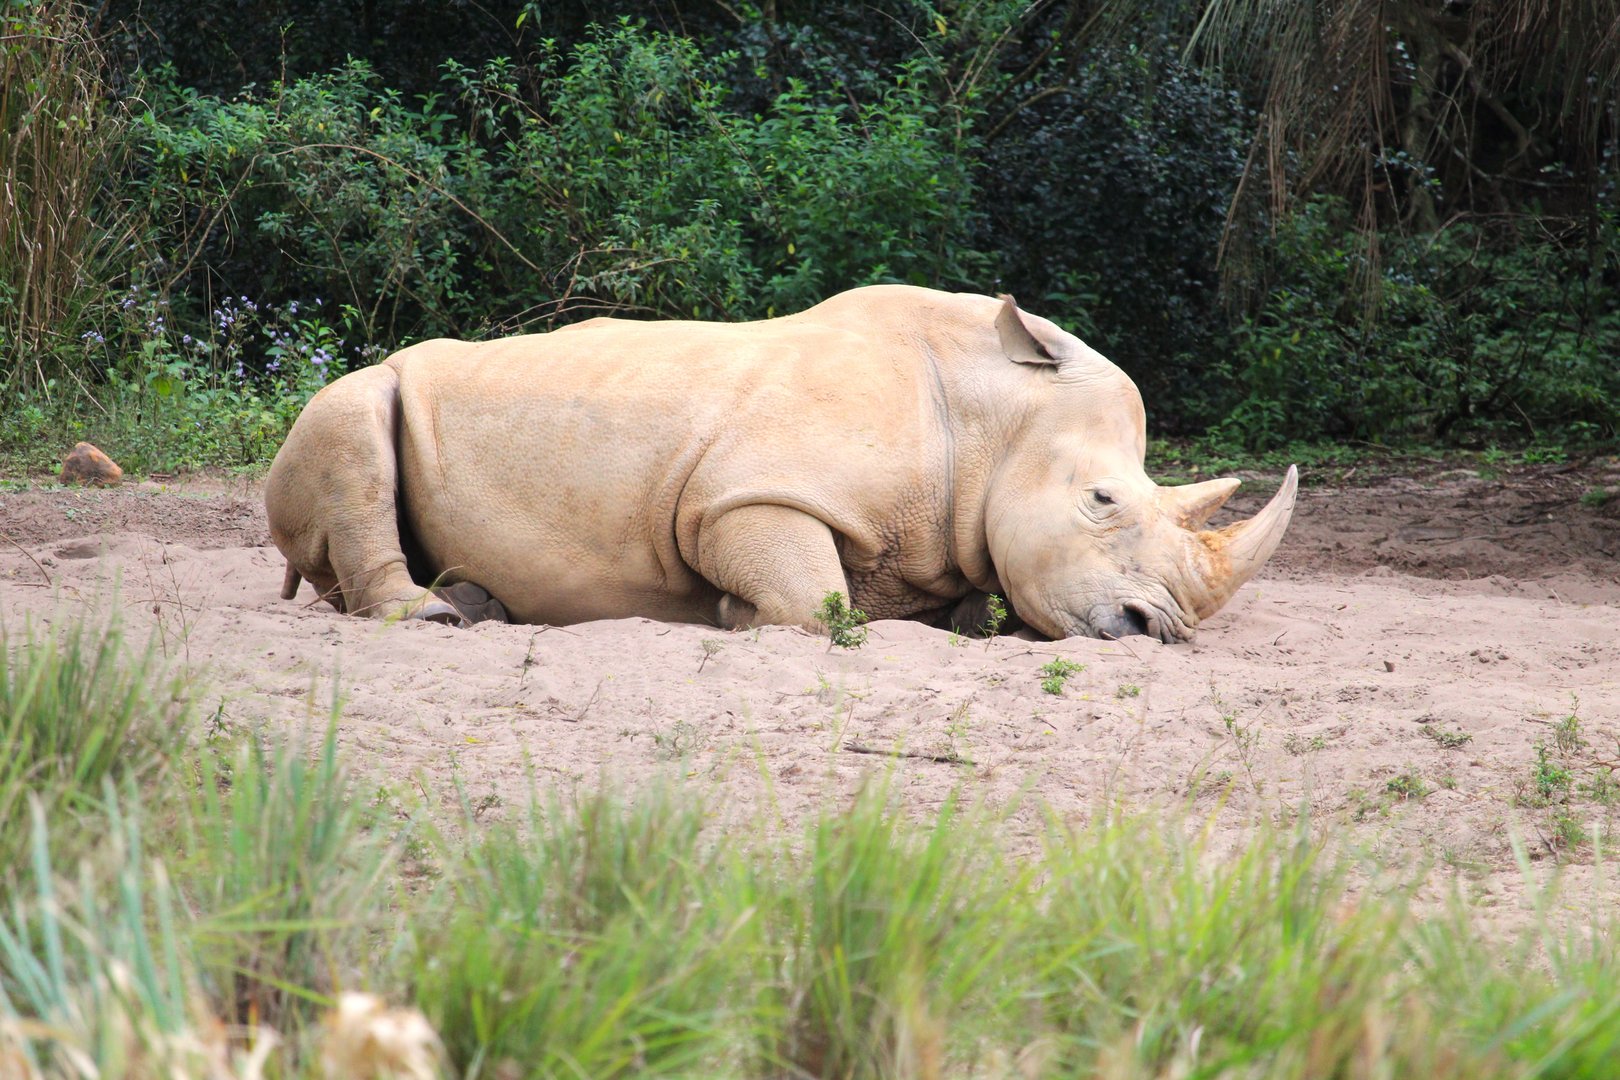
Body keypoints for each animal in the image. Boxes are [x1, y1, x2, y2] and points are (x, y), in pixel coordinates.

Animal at [264, 286, 1296, 642]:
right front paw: (730, 614)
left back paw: (476, 603)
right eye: (1102, 500)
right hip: (357, 392)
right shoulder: (742, 497)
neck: (991, 419)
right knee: (352, 413)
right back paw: (437, 619)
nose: (1157, 631)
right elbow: (814, 600)